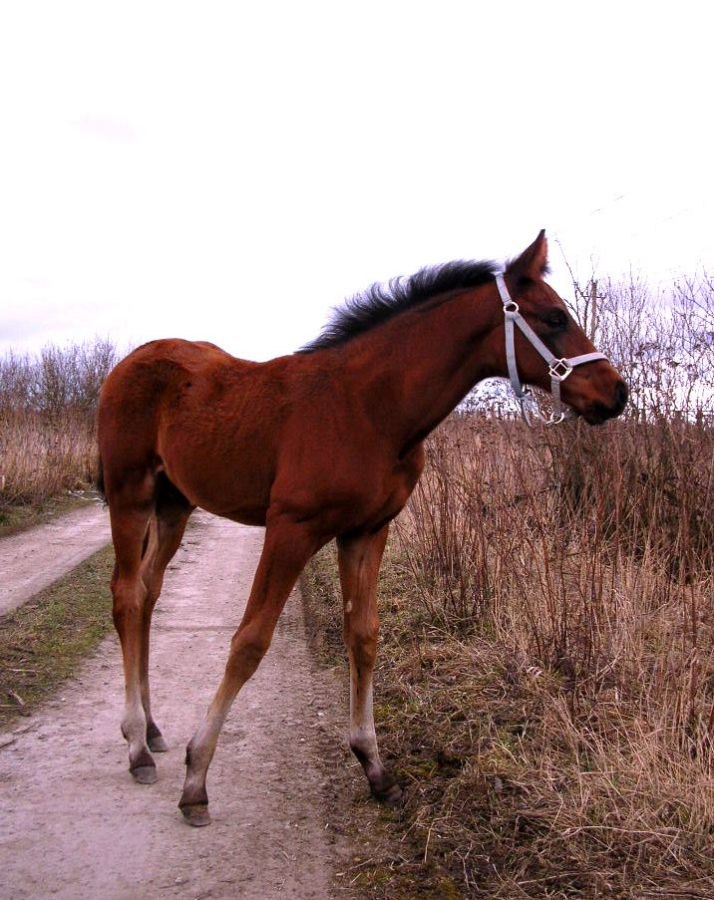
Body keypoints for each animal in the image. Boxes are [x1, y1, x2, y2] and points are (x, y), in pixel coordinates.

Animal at [96, 230, 624, 824]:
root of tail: (129, 363)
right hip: (130, 496)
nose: (616, 392)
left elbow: (364, 635)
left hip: (175, 505)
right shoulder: (291, 528)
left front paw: (374, 768)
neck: (369, 408)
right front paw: (197, 779)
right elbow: (250, 640)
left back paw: (150, 730)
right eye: (554, 317)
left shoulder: (367, 531)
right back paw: (137, 746)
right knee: (126, 594)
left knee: (148, 591)